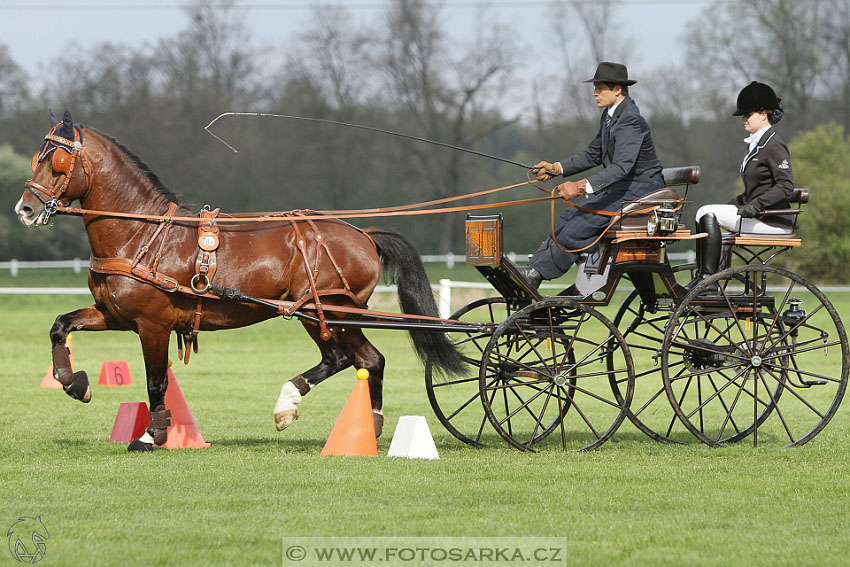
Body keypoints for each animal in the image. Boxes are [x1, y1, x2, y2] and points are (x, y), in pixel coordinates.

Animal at [13, 110, 460, 452]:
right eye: (37, 156)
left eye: (57, 162)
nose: (24, 208)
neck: (142, 233)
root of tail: (363, 234)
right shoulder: (115, 315)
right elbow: (60, 326)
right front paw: (75, 384)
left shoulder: (152, 325)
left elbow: (156, 381)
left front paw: (151, 435)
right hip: (322, 315)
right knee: (354, 360)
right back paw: (332, 415)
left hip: (329, 312)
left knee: (362, 359)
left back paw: (316, 410)